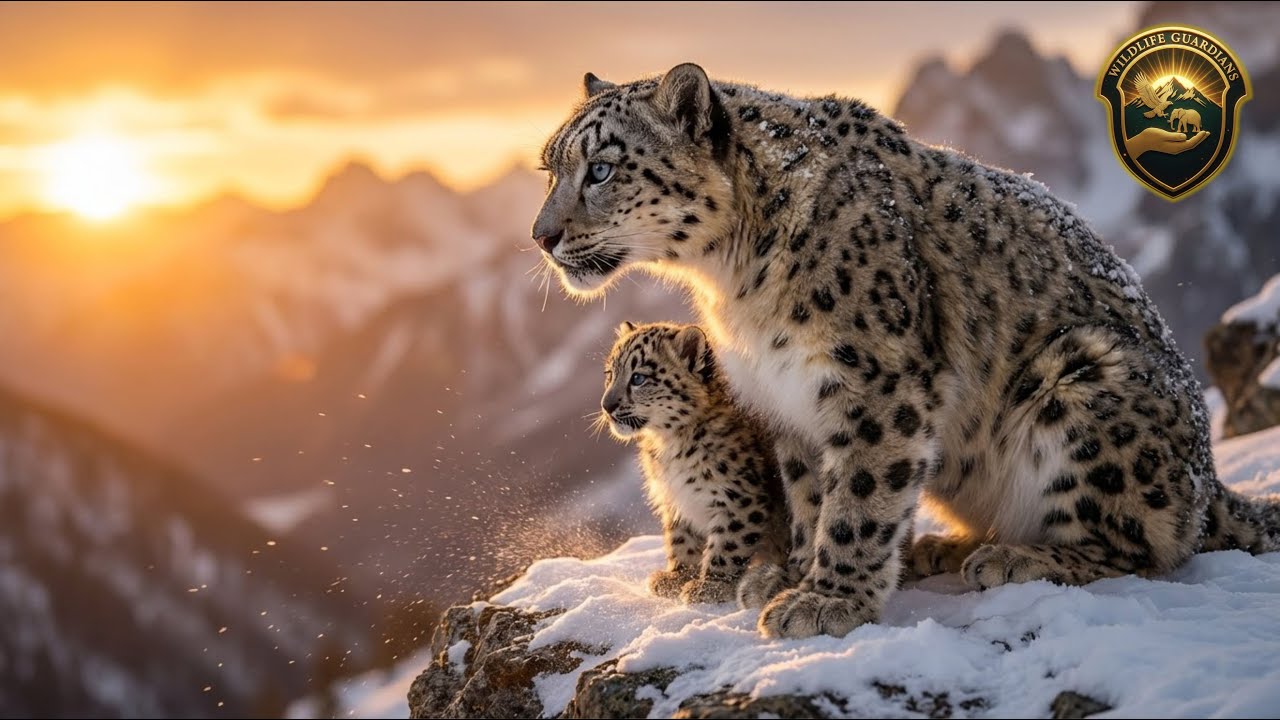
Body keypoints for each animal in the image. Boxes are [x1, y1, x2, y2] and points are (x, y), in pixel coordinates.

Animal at [601, 320, 789, 604]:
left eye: (638, 378)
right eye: (610, 373)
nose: (606, 405)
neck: (667, 444)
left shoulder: (739, 496)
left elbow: (729, 542)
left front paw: (710, 586)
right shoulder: (676, 498)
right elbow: (680, 537)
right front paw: (677, 577)